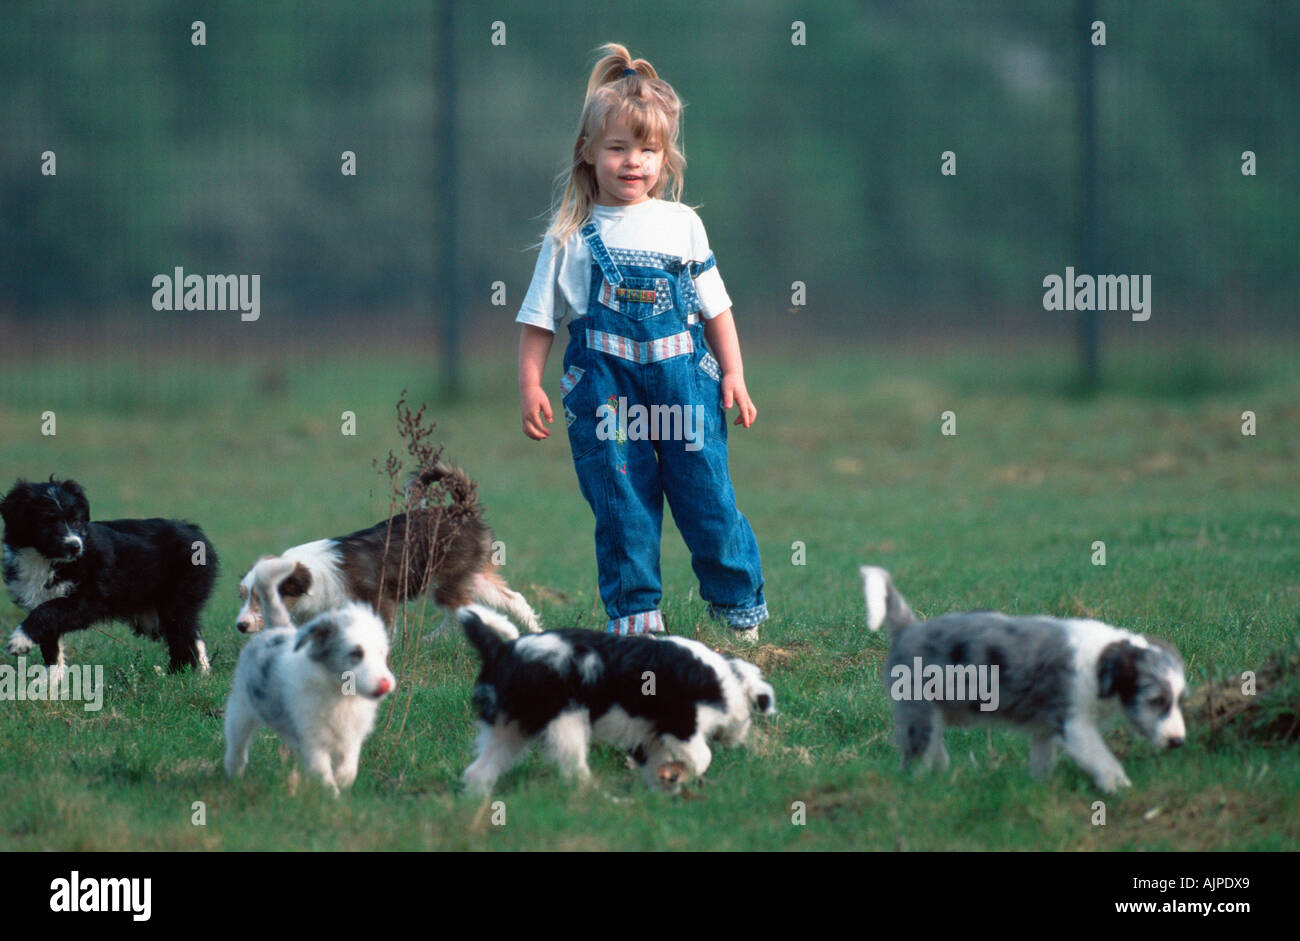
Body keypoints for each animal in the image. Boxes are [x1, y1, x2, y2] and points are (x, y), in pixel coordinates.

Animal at [1, 478, 219, 675]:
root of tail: (193, 530)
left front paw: (18, 641)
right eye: (47, 521)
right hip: (152, 615)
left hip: (178, 598)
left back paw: (188, 676)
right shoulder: (41, 597)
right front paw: (50, 685)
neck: (45, 560)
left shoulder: (88, 600)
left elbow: (47, 611)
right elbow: (51, 645)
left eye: (76, 520)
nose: (75, 547)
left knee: (185, 635)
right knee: (186, 635)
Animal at [233, 460, 538, 631]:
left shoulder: (380, 602)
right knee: (511, 600)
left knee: (470, 611)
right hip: (472, 578)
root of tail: (462, 510)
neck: (314, 576)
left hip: (447, 582)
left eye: (261, 597)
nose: (241, 626)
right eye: (243, 596)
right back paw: (533, 631)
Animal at [457, 605, 774, 795]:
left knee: (478, 772)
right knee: (574, 773)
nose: (738, 742)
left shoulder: (648, 739)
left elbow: (656, 766)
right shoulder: (681, 727)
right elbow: (701, 758)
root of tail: (502, 649)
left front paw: (664, 789)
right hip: (565, 726)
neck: (723, 680)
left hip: (510, 729)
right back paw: (601, 799)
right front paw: (679, 777)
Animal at [863, 566, 1190, 795]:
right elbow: (1102, 758)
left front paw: (1039, 787)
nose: (1178, 742)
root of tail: (908, 630)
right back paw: (916, 789)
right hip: (917, 712)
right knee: (914, 759)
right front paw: (1120, 786)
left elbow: (1042, 761)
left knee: (934, 751)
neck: (1099, 663)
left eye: (1179, 701)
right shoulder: (1072, 722)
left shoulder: (1044, 728)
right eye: (1156, 700)